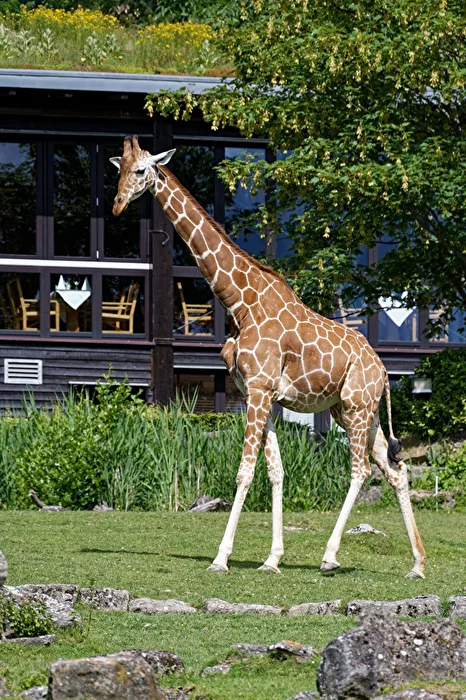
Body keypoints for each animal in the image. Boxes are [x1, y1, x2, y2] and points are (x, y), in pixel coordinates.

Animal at [111, 135, 427, 579]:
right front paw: (272, 559)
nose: (118, 204)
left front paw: (221, 558)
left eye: (141, 170)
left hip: (356, 406)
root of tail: (383, 370)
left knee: (362, 469)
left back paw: (330, 556)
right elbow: (276, 471)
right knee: (395, 469)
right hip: (356, 410)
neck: (240, 303)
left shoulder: (260, 389)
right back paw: (417, 564)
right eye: (119, 170)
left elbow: (245, 471)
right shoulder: (260, 394)